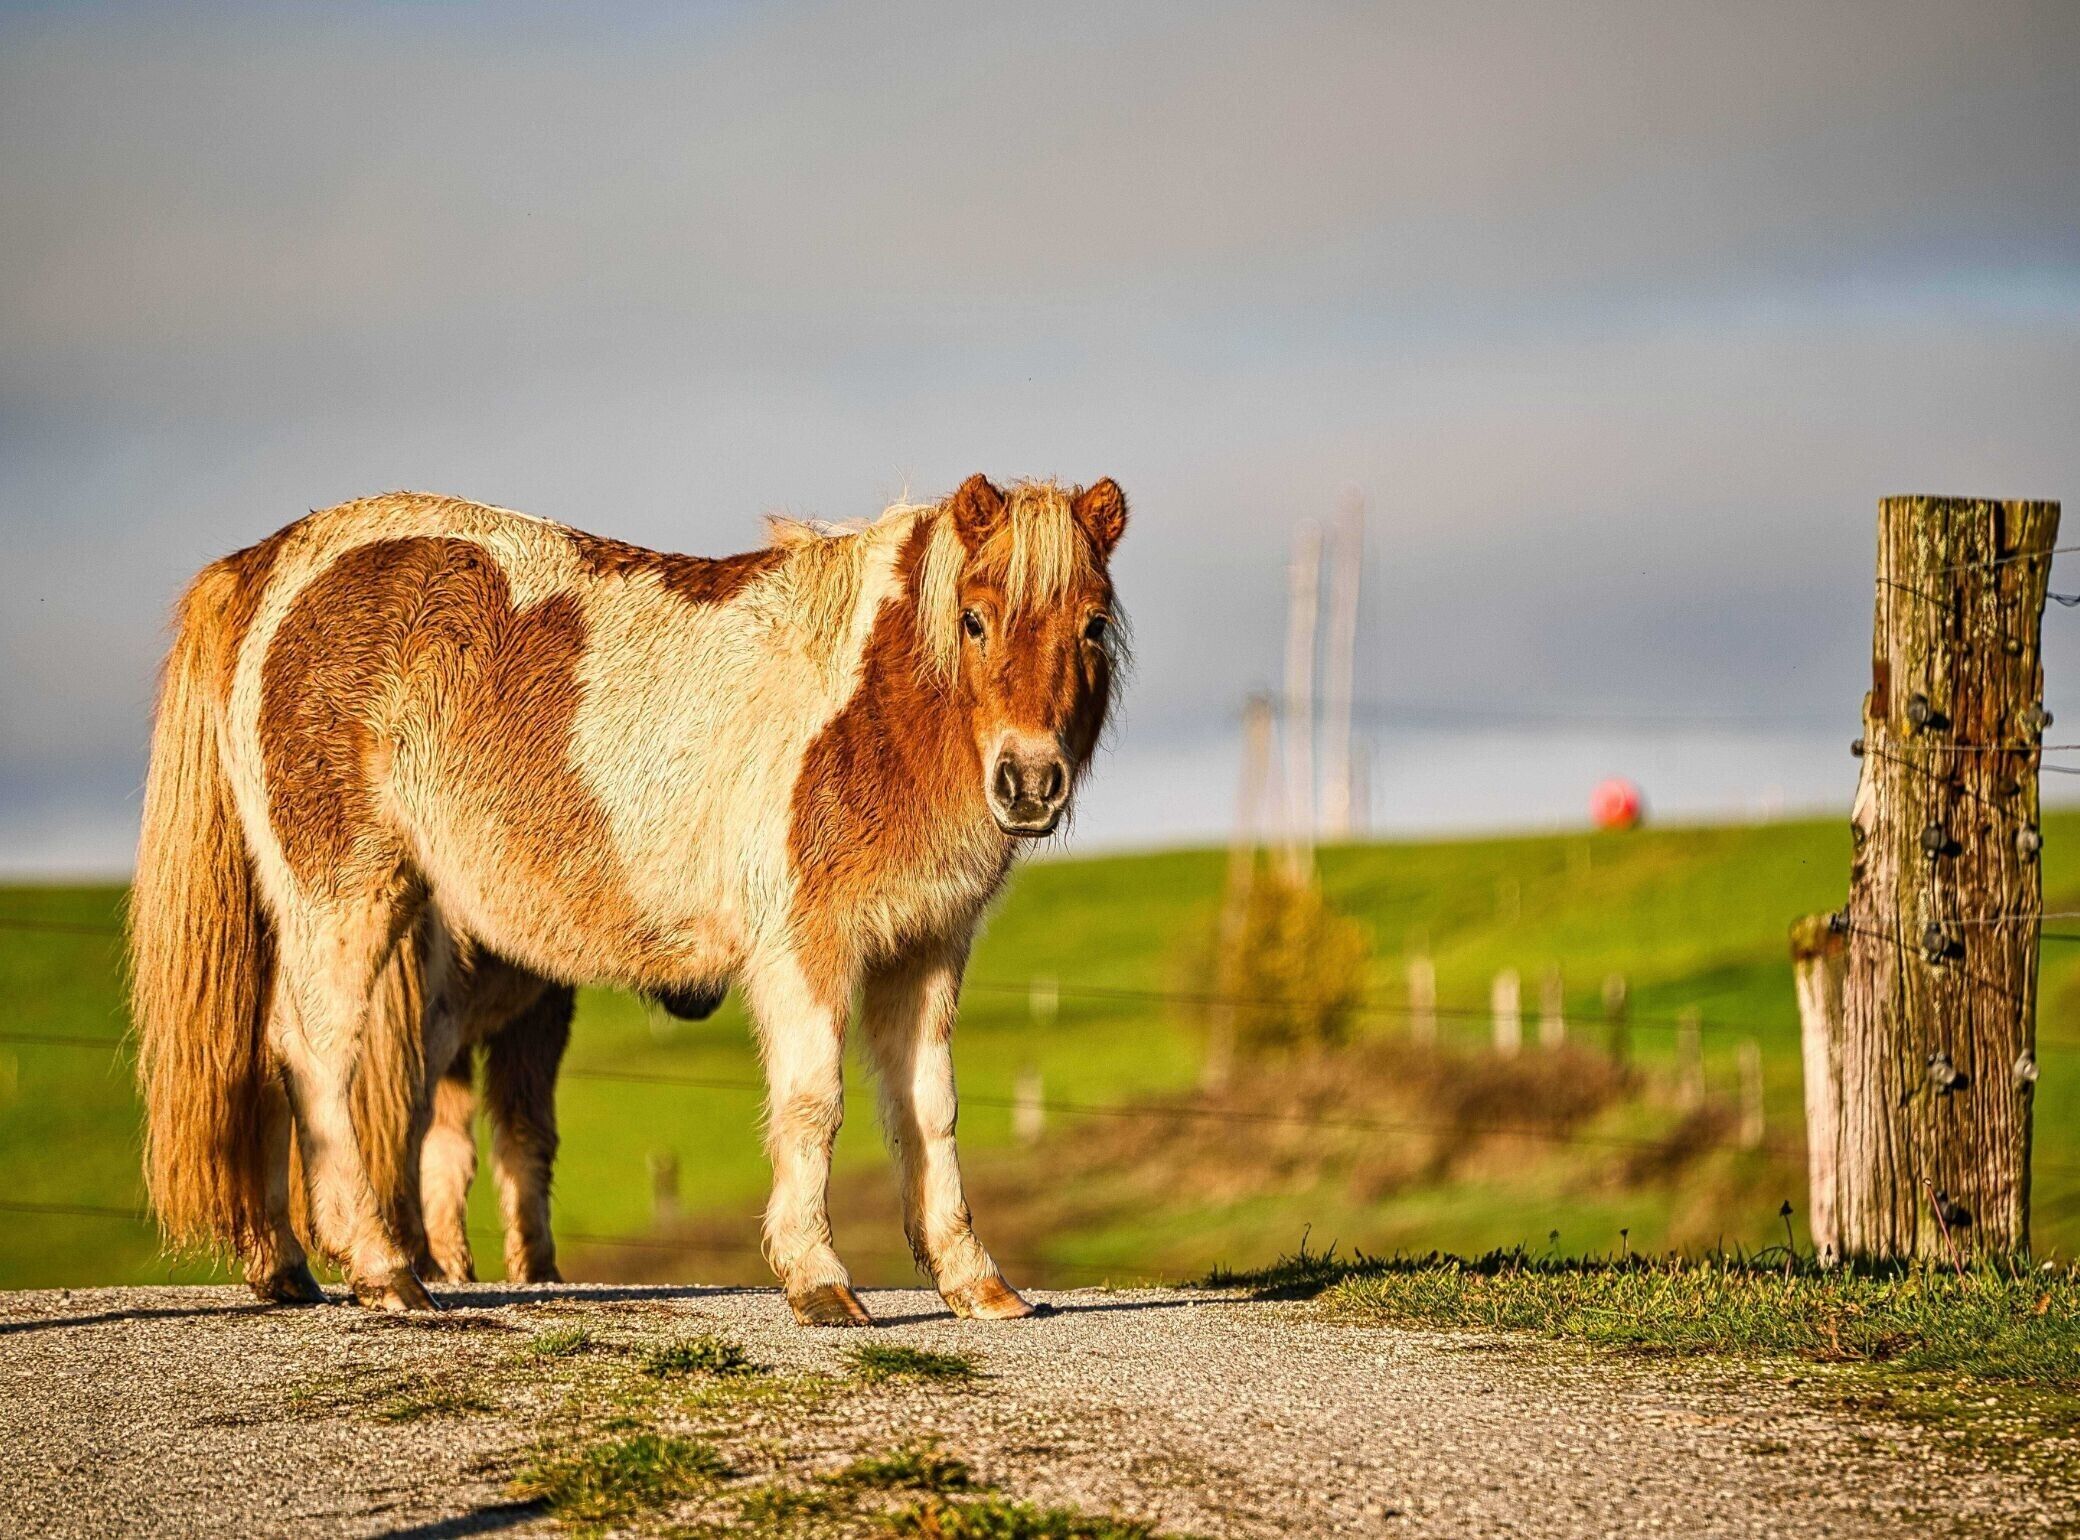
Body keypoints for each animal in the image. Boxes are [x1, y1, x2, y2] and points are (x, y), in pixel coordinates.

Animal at [129, 474, 1127, 1323]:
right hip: (346, 896)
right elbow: (815, 1103)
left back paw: (284, 1267)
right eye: (973, 619)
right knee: (312, 1057)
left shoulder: (923, 953)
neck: (873, 706)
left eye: (1090, 626)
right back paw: (384, 1272)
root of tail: (264, 565)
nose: (1029, 783)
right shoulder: (804, 951)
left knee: (259, 1059)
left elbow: (929, 1112)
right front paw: (818, 1281)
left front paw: (976, 1284)